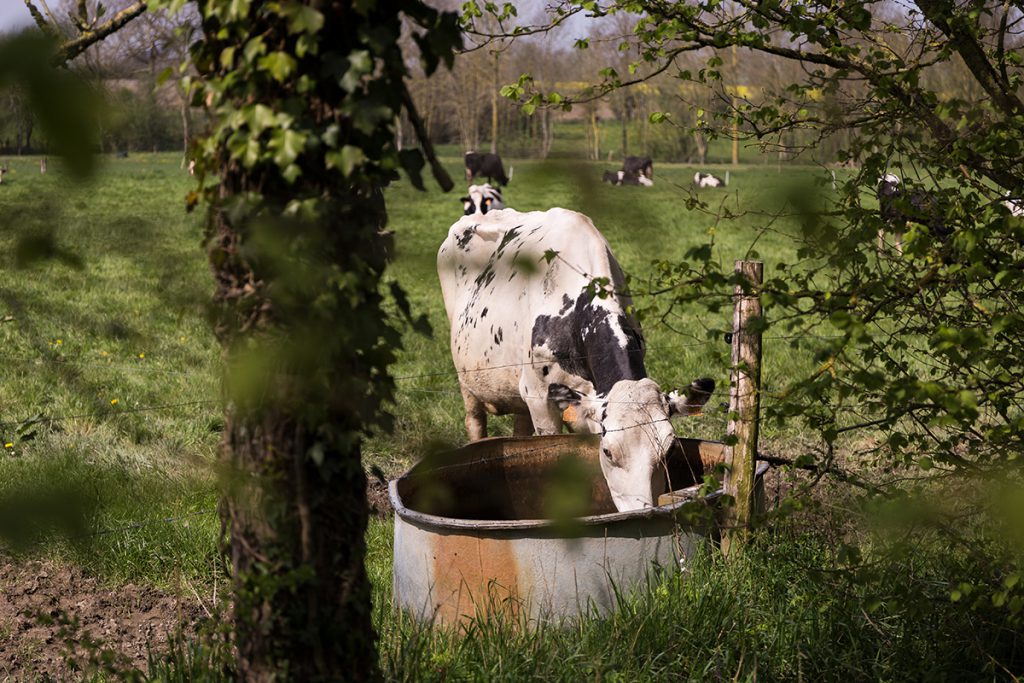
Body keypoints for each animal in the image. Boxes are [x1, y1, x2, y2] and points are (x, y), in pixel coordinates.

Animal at [434, 205, 712, 509]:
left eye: (670, 450)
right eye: (608, 451)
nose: (642, 510)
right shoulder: (540, 398)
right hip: (468, 381)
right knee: (475, 422)